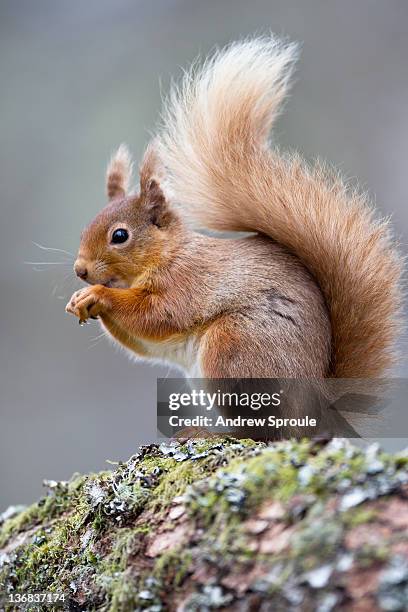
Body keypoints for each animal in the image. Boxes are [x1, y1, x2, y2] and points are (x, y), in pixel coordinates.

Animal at [66, 35, 402, 380]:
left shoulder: (187, 282)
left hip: (235, 343)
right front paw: (78, 300)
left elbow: (158, 315)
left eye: (120, 236)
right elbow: (144, 343)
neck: (170, 253)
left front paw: (98, 295)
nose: (80, 270)